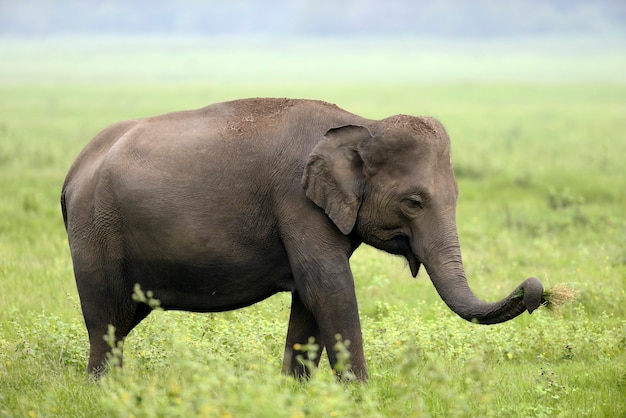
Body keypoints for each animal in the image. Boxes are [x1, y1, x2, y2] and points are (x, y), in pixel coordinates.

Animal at [61, 97, 544, 378]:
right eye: (414, 203)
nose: (535, 289)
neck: (362, 124)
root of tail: (74, 170)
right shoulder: (296, 201)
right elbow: (329, 286)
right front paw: (360, 394)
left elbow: (309, 297)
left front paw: (294, 391)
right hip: (95, 231)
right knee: (105, 318)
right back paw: (105, 388)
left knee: (123, 317)